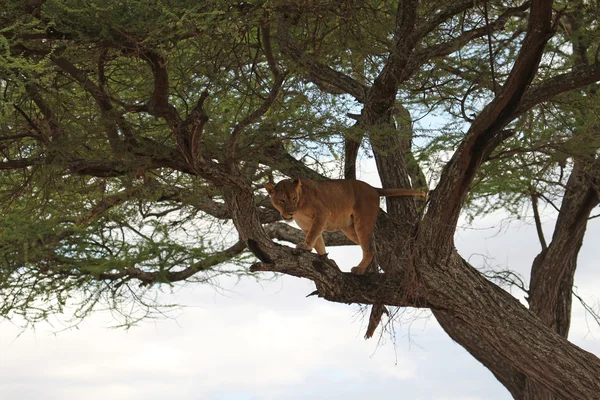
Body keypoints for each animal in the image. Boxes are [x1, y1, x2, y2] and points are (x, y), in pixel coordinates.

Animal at [264, 177, 426, 276]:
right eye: (282, 200)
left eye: (293, 198)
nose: (290, 213)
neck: (299, 206)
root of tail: (372, 188)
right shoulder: (307, 224)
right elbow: (318, 241)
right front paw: (324, 258)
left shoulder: (322, 213)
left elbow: (312, 235)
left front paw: (304, 247)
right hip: (349, 229)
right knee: (372, 247)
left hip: (363, 222)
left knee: (369, 248)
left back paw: (359, 269)